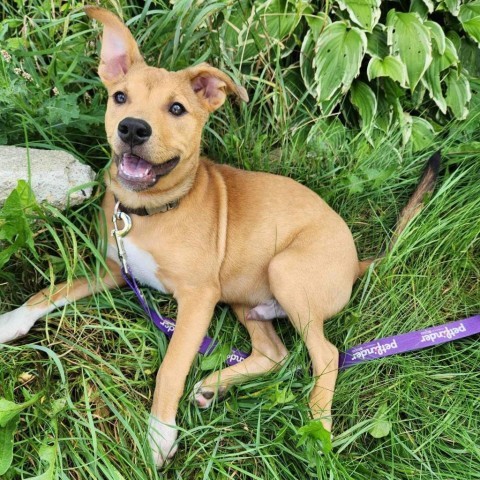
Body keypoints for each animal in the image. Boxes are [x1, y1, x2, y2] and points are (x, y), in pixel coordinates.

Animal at [0, 5, 438, 466]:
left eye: (177, 108)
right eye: (120, 97)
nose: (133, 129)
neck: (151, 210)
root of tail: (356, 261)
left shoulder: (198, 299)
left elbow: (172, 366)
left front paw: (160, 432)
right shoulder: (117, 270)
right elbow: (54, 290)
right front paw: (11, 321)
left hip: (285, 271)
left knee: (326, 354)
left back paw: (317, 427)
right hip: (246, 297)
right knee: (275, 354)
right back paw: (216, 385)